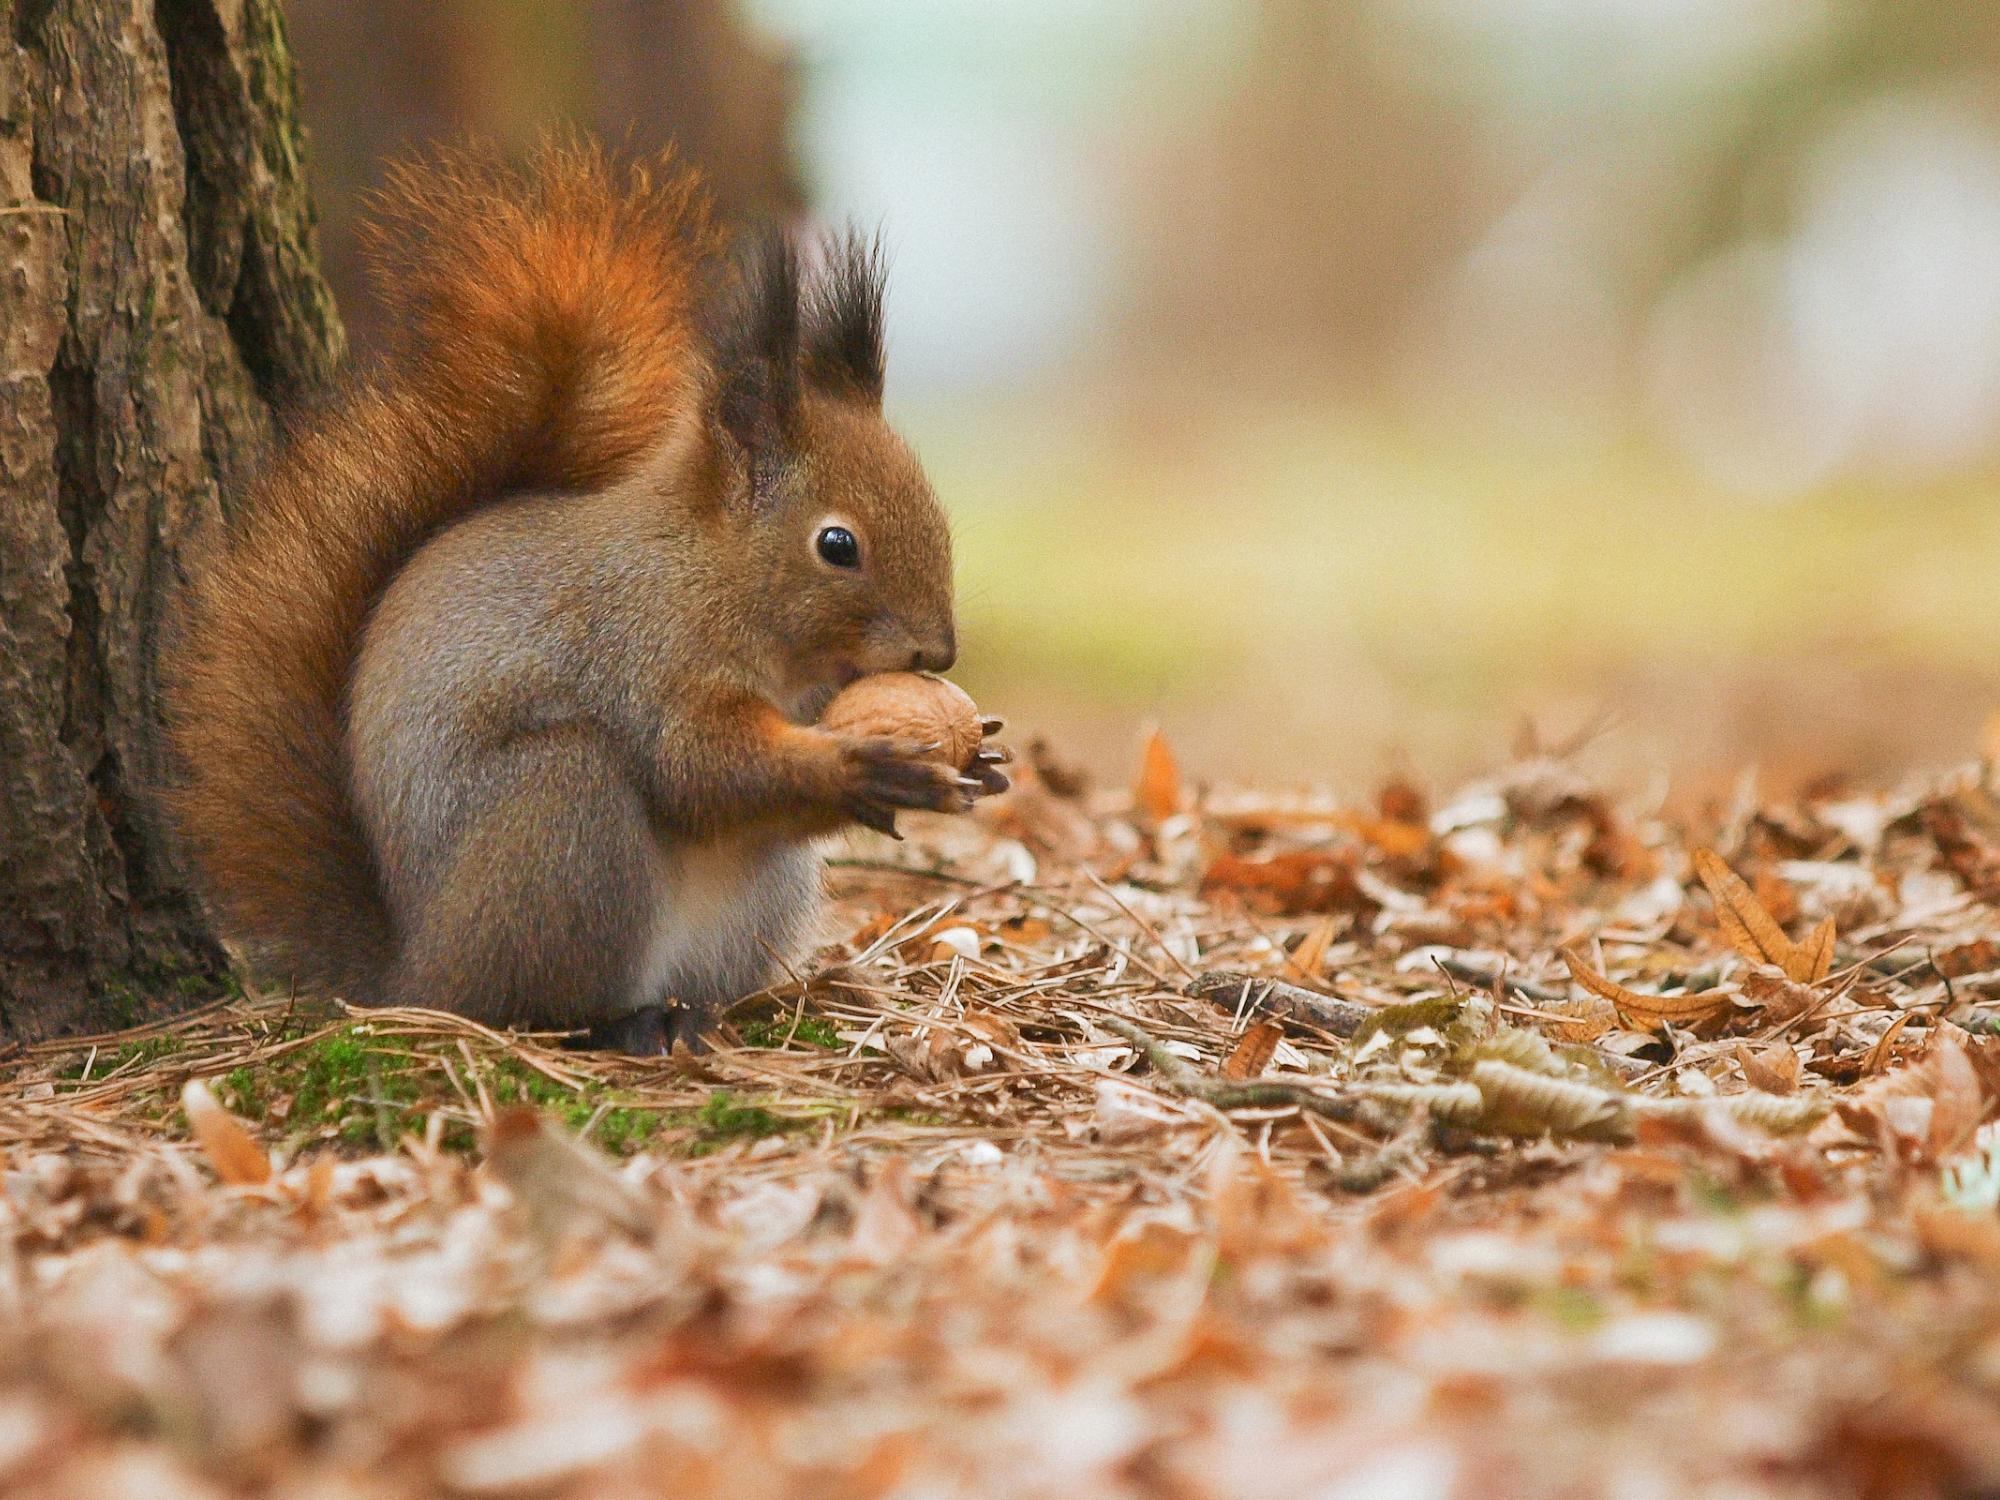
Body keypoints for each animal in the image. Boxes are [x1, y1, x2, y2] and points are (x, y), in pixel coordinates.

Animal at [166, 137, 1008, 1053]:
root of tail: (409, 972)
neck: (711, 573)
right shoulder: (647, 653)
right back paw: (620, 1023)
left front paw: (977, 757)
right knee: (528, 995)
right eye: (837, 546)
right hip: (562, 822)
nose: (939, 653)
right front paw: (862, 765)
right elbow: (697, 767)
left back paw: (697, 1013)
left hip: (750, 900)